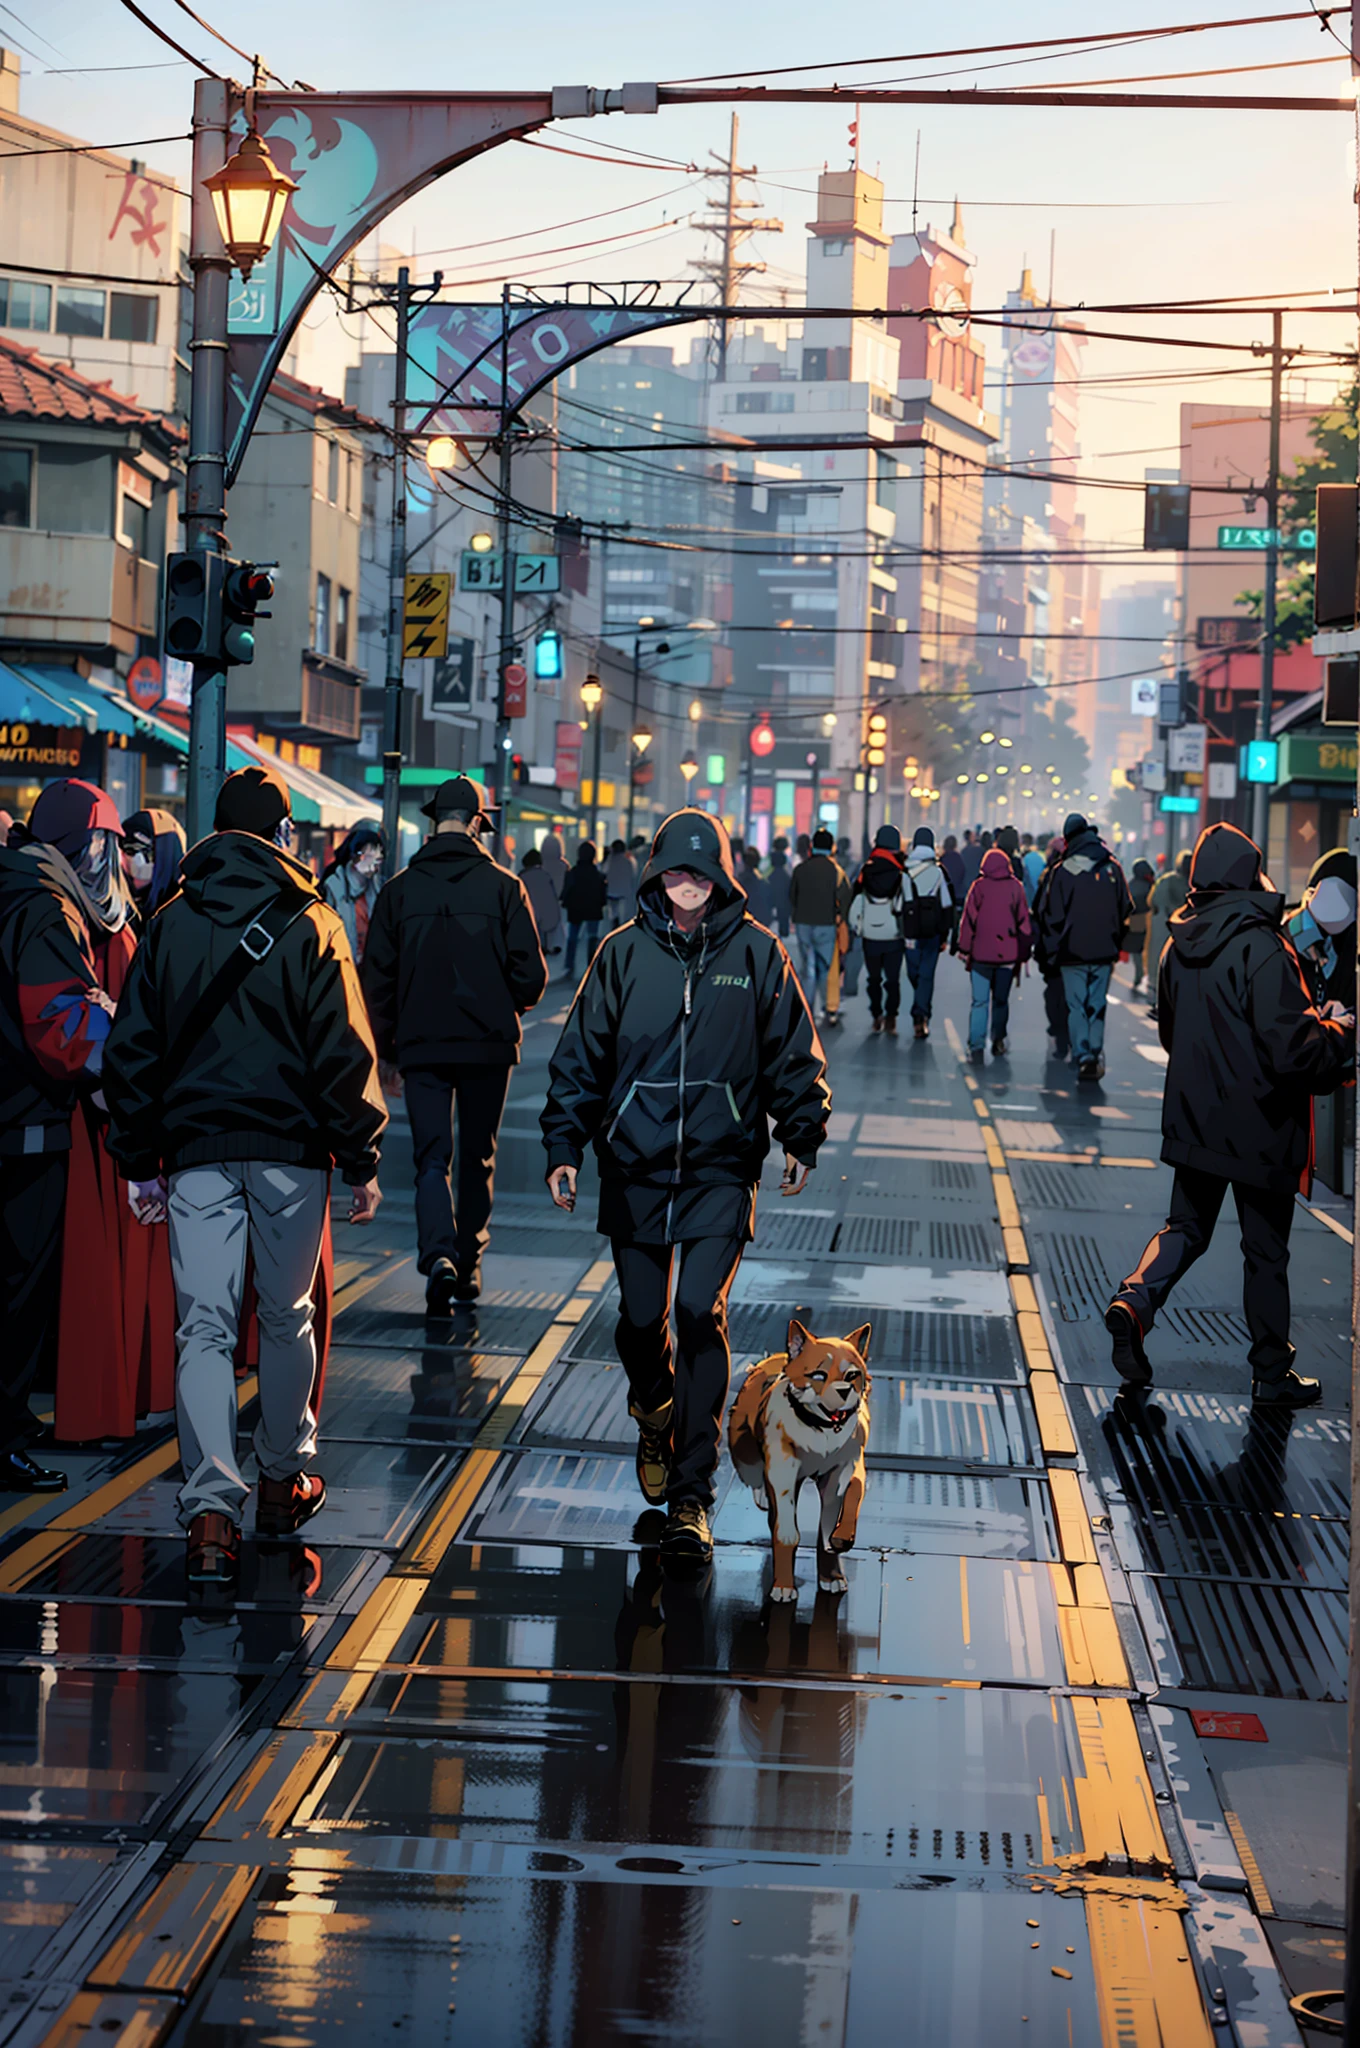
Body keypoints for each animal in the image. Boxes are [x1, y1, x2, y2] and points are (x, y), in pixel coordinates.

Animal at [733, 1318, 872, 1605]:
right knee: (756, 1478)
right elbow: (786, 1533)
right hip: (745, 1455)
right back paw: (762, 1495)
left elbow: (840, 1511)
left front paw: (833, 1570)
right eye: (818, 1376)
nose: (844, 1391)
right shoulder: (783, 1475)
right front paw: (784, 1586)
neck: (823, 1431)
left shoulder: (843, 1471)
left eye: (852, 1375)